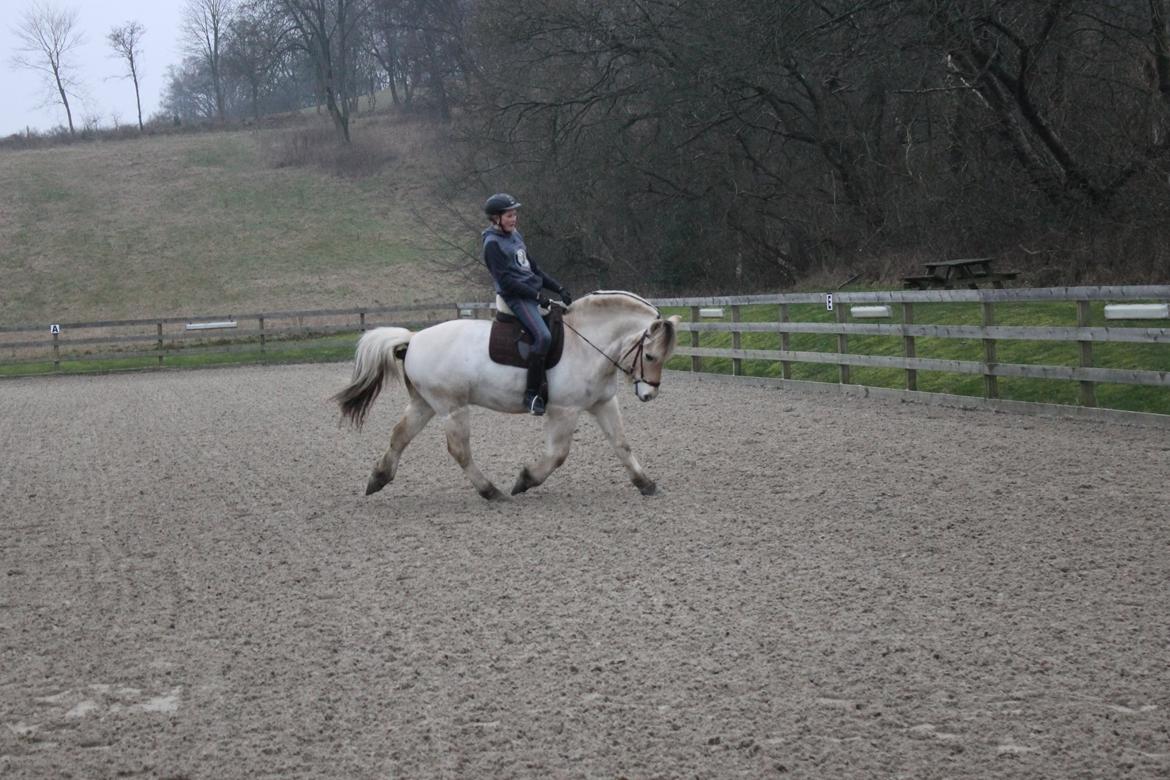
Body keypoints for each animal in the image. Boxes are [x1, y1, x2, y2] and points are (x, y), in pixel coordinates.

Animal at [334, 291, 683, 500]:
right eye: (650, 356)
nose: (649, 394)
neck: (585, 342)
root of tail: (414, 338)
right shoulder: (564, 410)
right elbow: (557, 455)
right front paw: (525, 480)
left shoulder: (602, 403)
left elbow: (622, 445)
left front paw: (646, 484)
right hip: (452, 408)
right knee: (460, 450)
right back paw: (491, 491)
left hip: (426, 405)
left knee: (400, 436)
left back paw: (378, 478)